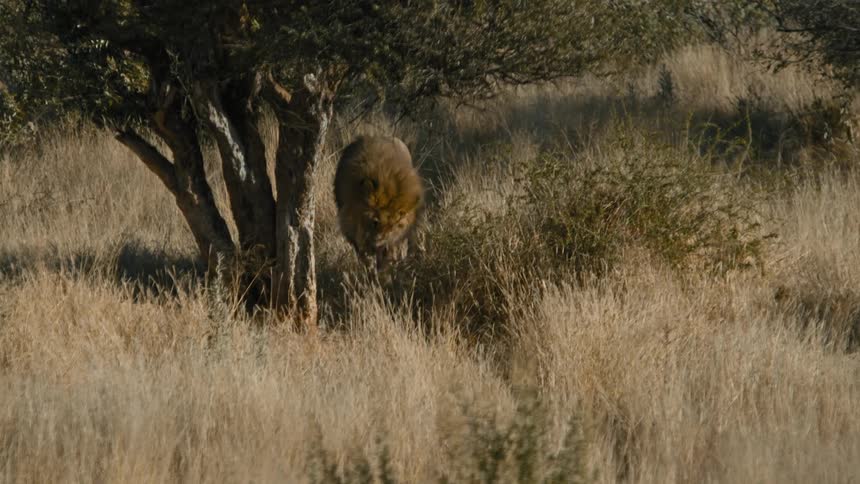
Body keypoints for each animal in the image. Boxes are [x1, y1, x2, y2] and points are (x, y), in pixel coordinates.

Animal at [334, 135, 424, 271]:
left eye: (394, 226)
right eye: (375, 222)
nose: (380, 242)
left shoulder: (392, 240)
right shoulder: (353, 232)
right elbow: (365, 258)